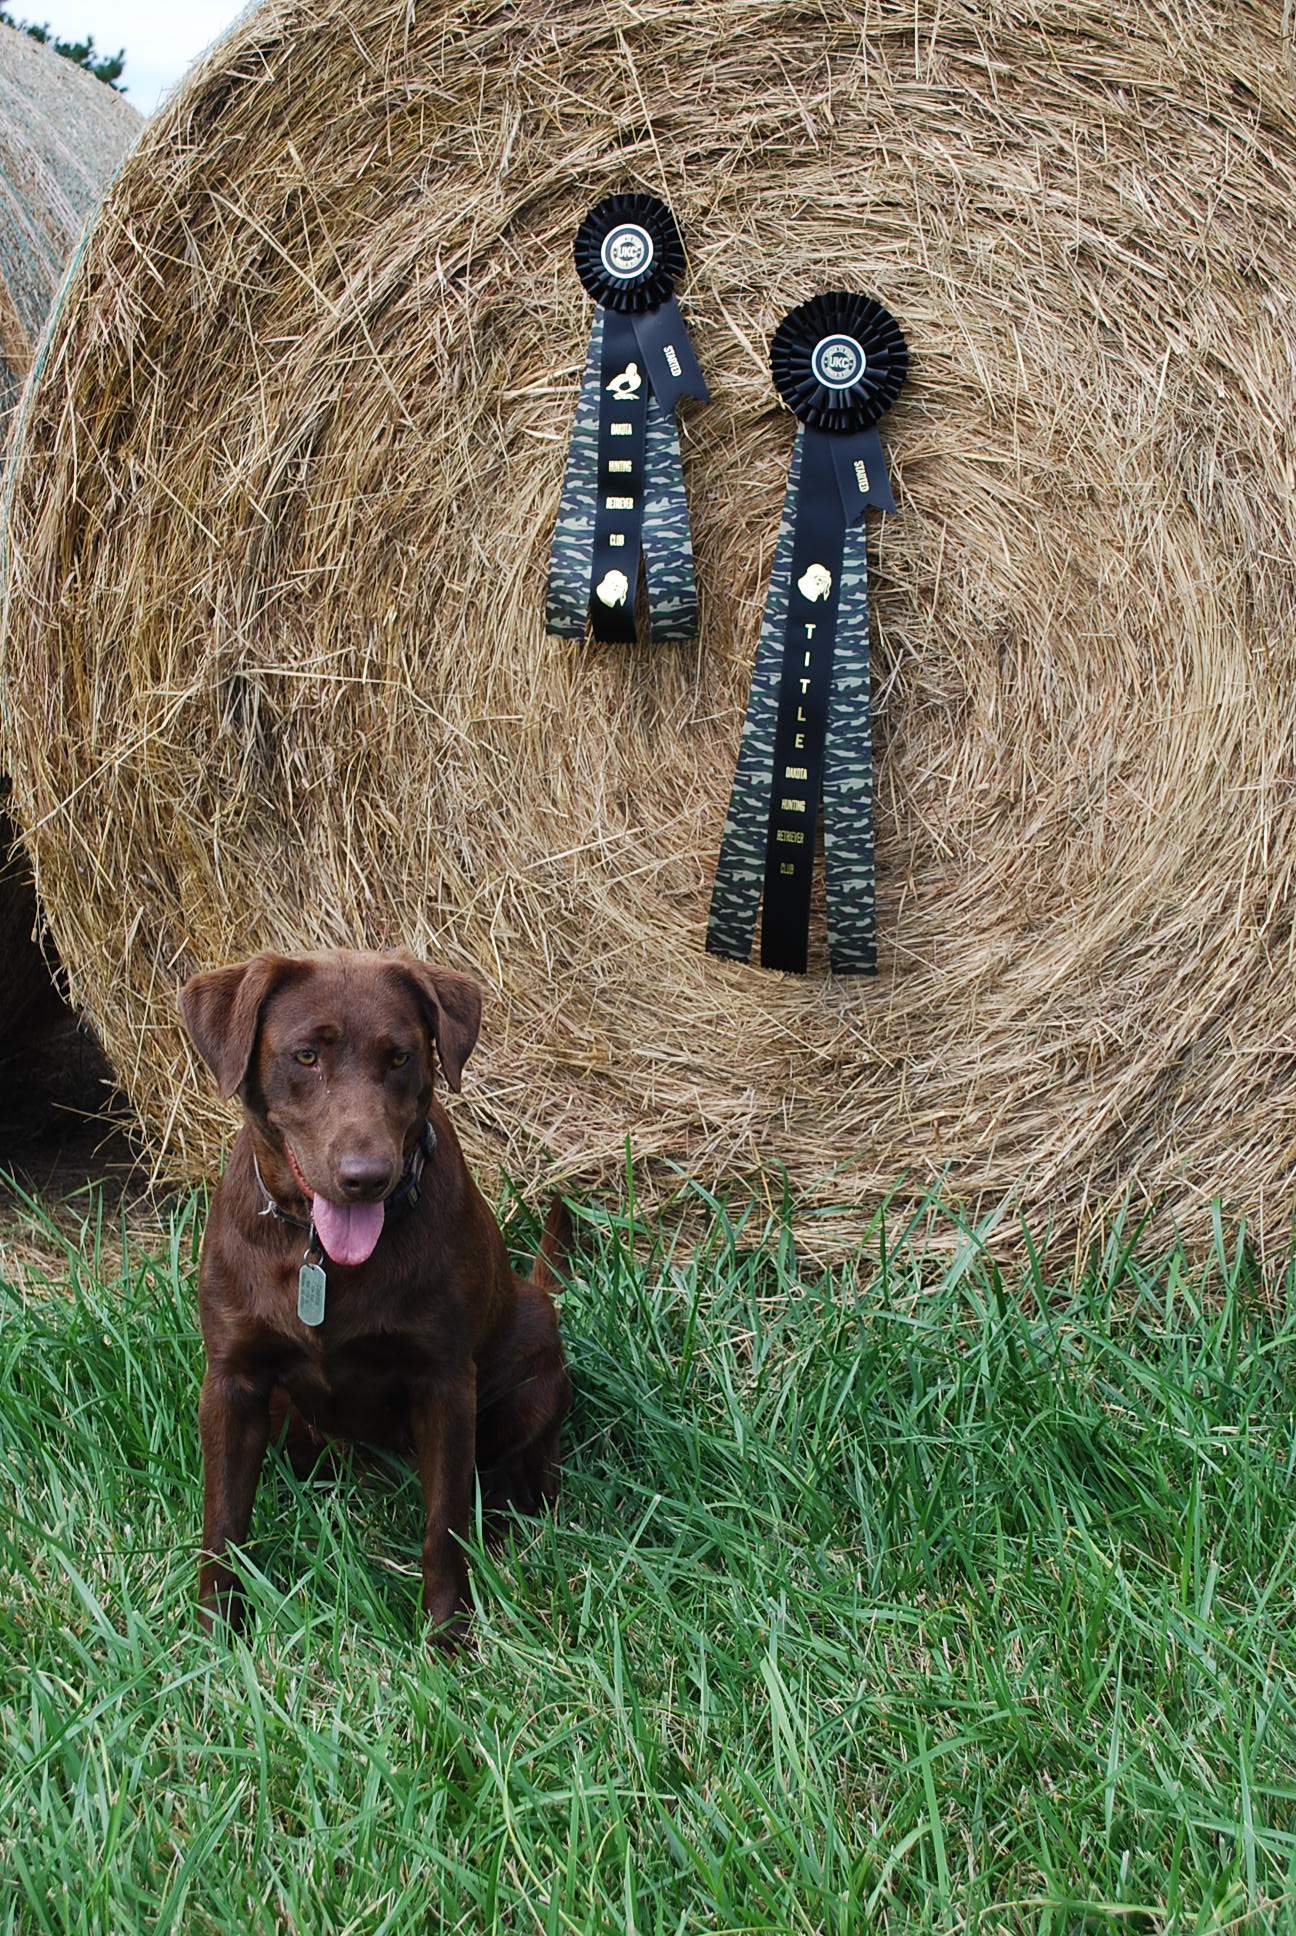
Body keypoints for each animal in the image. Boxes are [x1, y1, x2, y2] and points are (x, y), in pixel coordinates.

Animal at [178, 944, 569, 1641]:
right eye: (306, 1056)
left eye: (401, 1057)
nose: (367, 1178)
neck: (319, 1255)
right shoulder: (232, 1382)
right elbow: (221, 1522)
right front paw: (213, 1638)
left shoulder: (445, 1384)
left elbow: (444, 1526)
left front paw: (445, 1637)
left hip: (533, 1362)